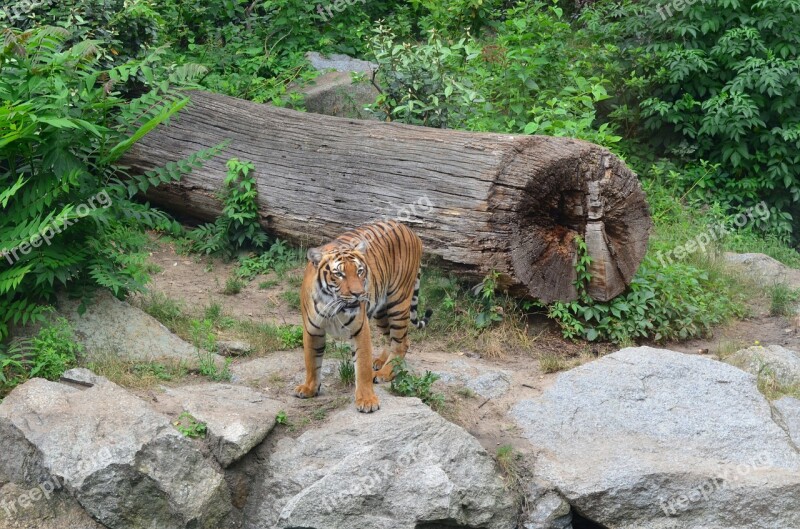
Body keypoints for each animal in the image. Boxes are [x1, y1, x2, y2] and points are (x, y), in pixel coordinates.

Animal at [294, 219, 432, 412]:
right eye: (339, 274)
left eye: (360, 271)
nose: (359, 294)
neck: (333, 307)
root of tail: (409, 230)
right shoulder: (312, 330)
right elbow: (311, 361)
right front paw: (309, 388)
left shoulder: (360, 329)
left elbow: (362, 366)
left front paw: (367, 400)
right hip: (381, 310)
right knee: (391, 338)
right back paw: (381, 361)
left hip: (398, 302)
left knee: (402, 342)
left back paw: (384, 372)